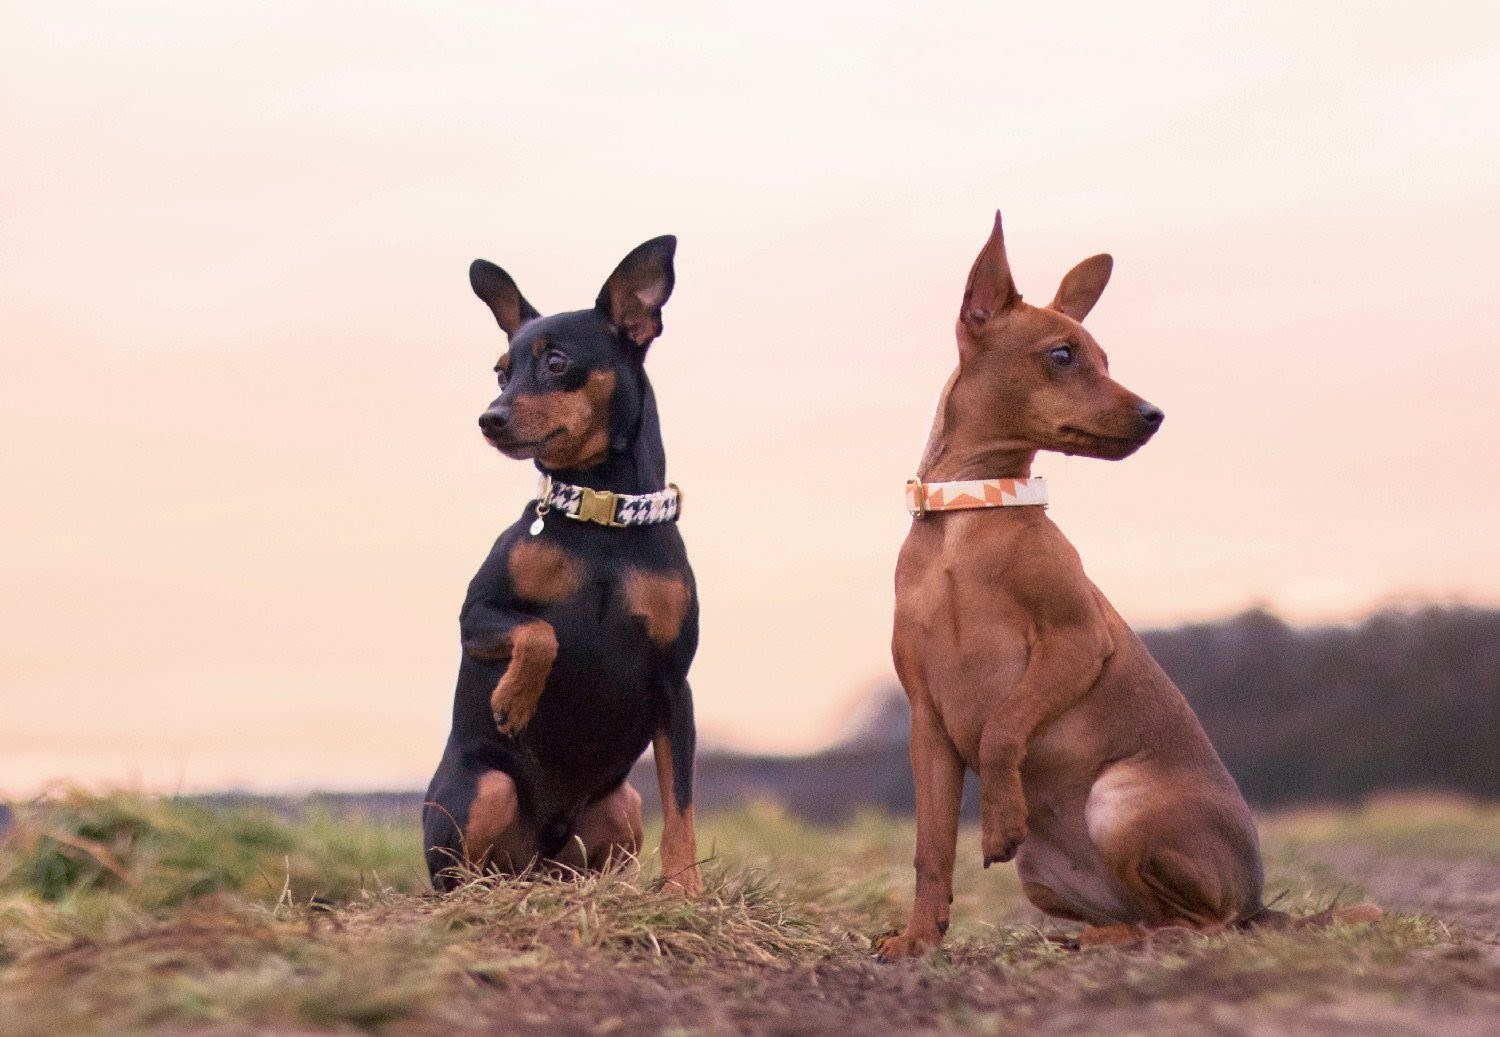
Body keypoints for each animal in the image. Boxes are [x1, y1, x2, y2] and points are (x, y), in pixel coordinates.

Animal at [426, 235, 699, 894]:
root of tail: (536, 864)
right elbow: (540, 630)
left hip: (623, 806)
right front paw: (514, 700)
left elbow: (682, 807)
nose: (490, 417)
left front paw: (687, 893)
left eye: (555, 363)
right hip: (485, 788)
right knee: (458, 875)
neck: (599, 518)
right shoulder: (476, 617)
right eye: (500, 372)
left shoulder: (674, 684)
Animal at [882, 214, 1272, 960]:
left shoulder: (1077, 642)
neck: (969, 513)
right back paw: (1093, 934)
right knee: (1151, 914)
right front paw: (918, 937)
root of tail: (1262, 901)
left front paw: (1000, 817)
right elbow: (929, 850)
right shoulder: (927, 727)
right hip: (1043, 873)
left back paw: (1114, 939)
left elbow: (1003, 728)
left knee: (1200, 925)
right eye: (1062, 355)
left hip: (1120, 804)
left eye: (1106, 359)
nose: (1154, 414)